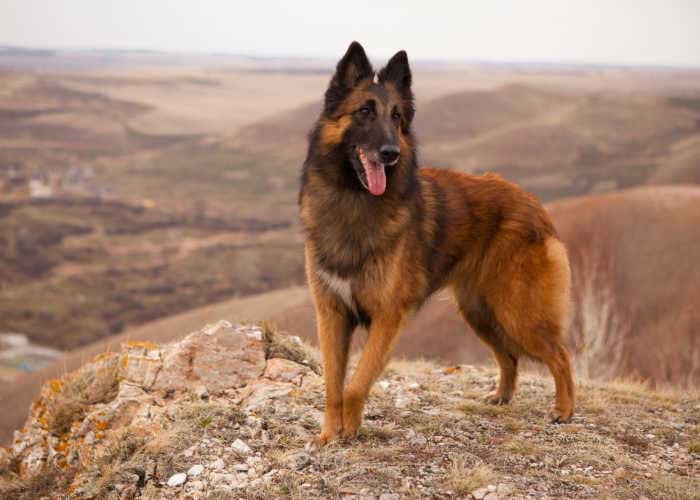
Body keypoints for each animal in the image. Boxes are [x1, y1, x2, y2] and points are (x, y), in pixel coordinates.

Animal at [298, 42, 576, 446]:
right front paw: (328, 435)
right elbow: (333, 385)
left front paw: (349, 430)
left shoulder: (387, 317)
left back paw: (564, 410)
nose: (391, 153)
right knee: (510, 357)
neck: (354, 201)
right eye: (365, 111)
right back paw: (502, 396)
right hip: (480, 312)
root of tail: (534, 203)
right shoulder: (332, 314)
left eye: (397, 116)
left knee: (560, 355)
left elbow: (356, 383)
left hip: (517, 311)